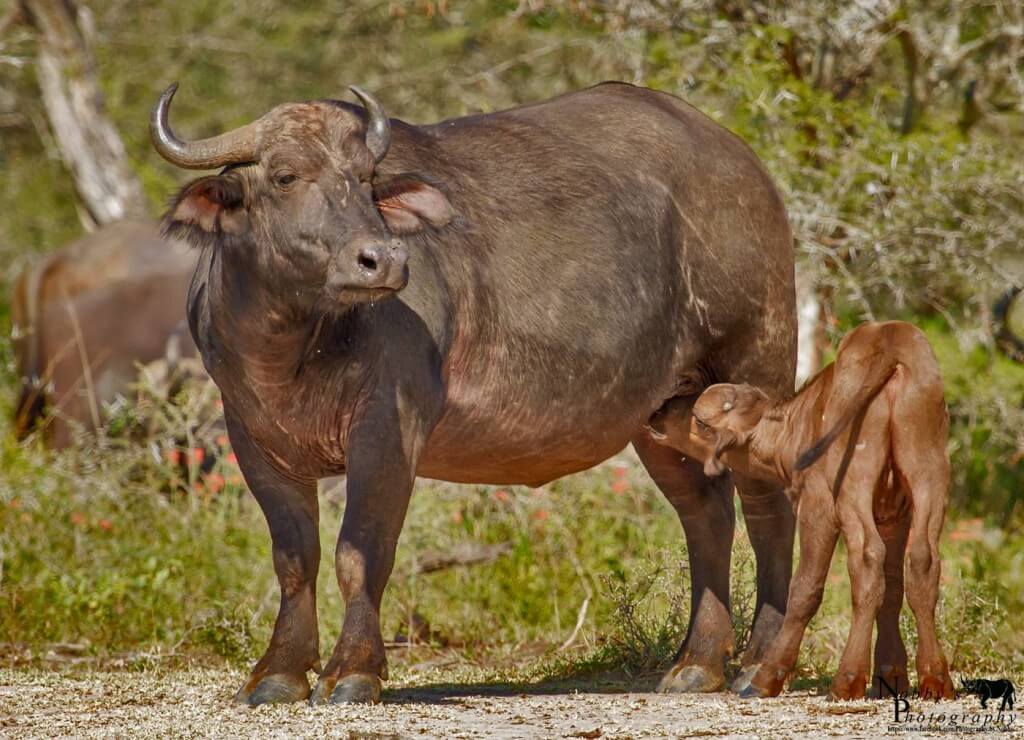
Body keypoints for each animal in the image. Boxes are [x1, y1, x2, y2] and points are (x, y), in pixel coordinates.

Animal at [151, 81, 797, 705]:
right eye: (285, 176)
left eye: (365, 179)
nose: (382, 259)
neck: (293, 347)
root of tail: (747, 167)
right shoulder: (252, 438)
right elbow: (294, 559)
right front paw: (278, 674)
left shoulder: (389, 429)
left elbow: (360, 553)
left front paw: (353, 671)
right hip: (662, 415)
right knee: (706, 515)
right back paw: (698, 664)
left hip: (759, 366)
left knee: (768, 508)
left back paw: (760, 664)